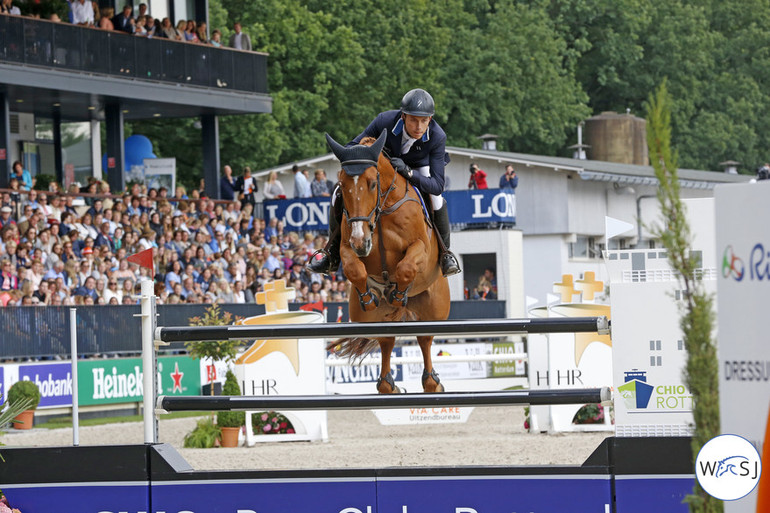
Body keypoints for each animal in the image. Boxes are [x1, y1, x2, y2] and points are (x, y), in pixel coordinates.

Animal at [326, 129, 450, 392]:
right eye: (341, 185)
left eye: (372, 183)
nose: (361, 241)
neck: (381, 210)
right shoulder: (346, 247)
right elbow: (354, 268)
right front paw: (369, 296)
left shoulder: (421, 249)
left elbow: (406, 267)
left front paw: (398, 292)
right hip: (364, 318)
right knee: (386, 339)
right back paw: (388, 385)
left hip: (434, 308)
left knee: (425, 338)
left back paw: (432, 382)